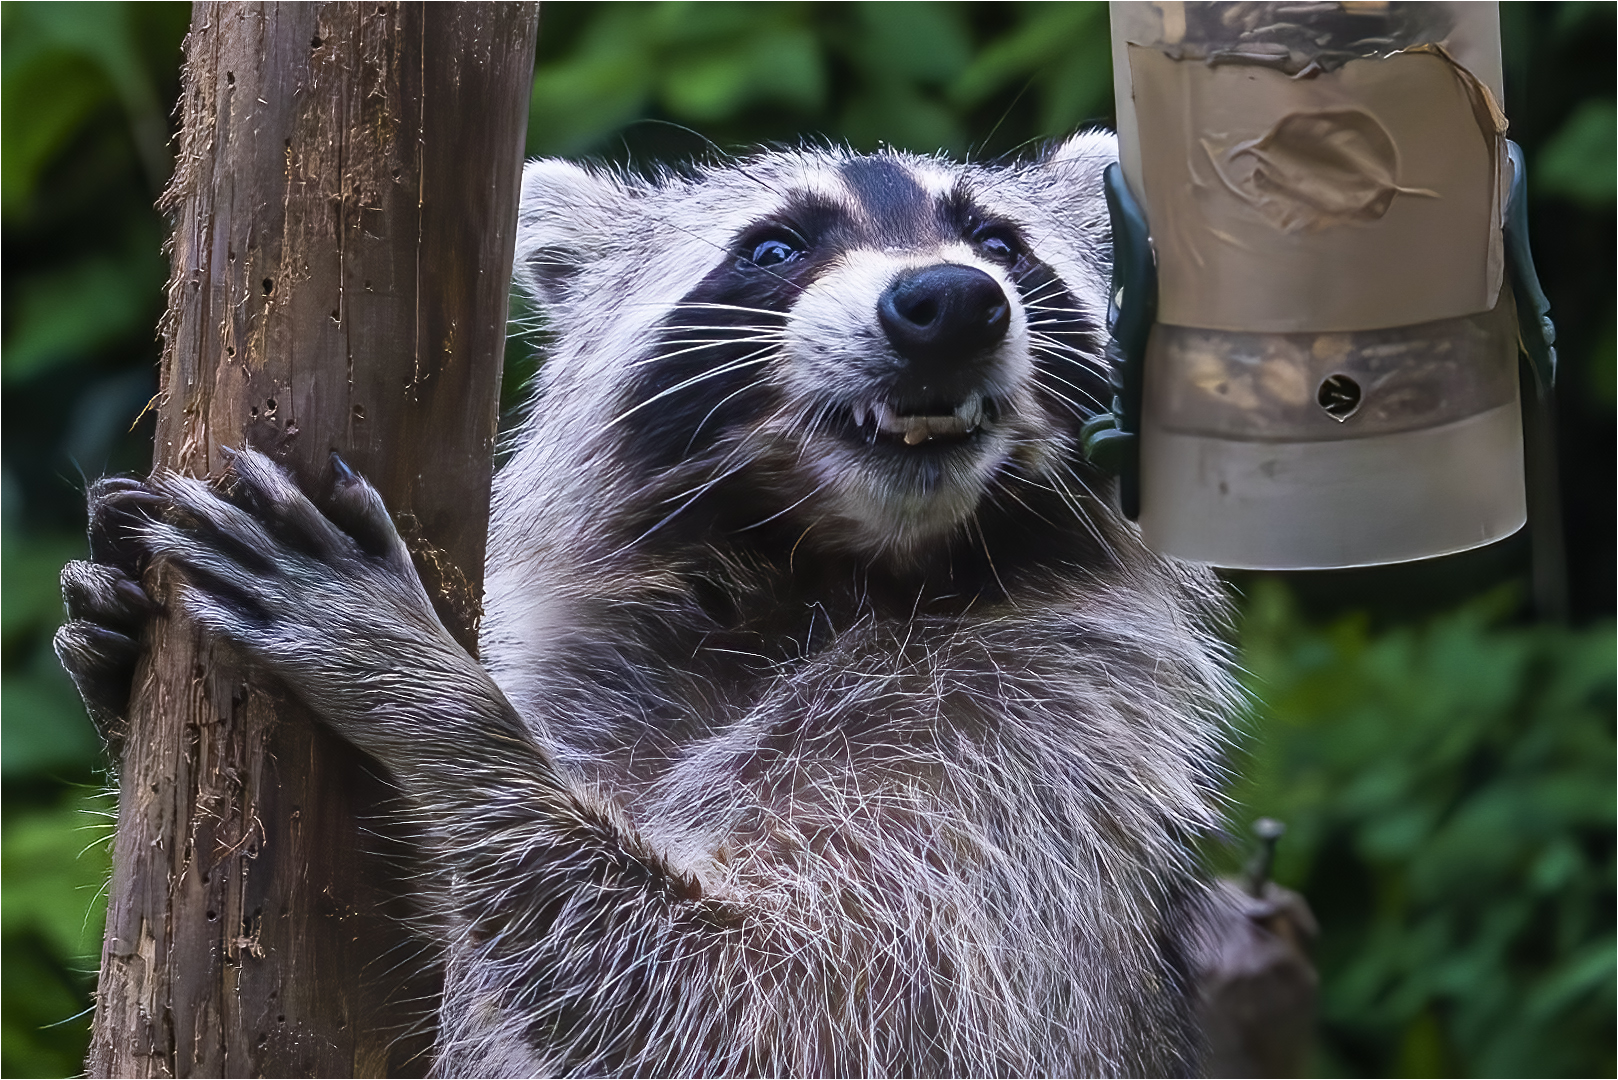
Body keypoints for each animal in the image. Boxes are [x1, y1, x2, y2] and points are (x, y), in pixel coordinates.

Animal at [57, 135, 1229, 1080]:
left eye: (998, 240)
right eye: (773, 248)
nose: (949, 300)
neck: (825, 574)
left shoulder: (1029, 770)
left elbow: (779, 1013)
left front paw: (437, 706)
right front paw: (120, 670)